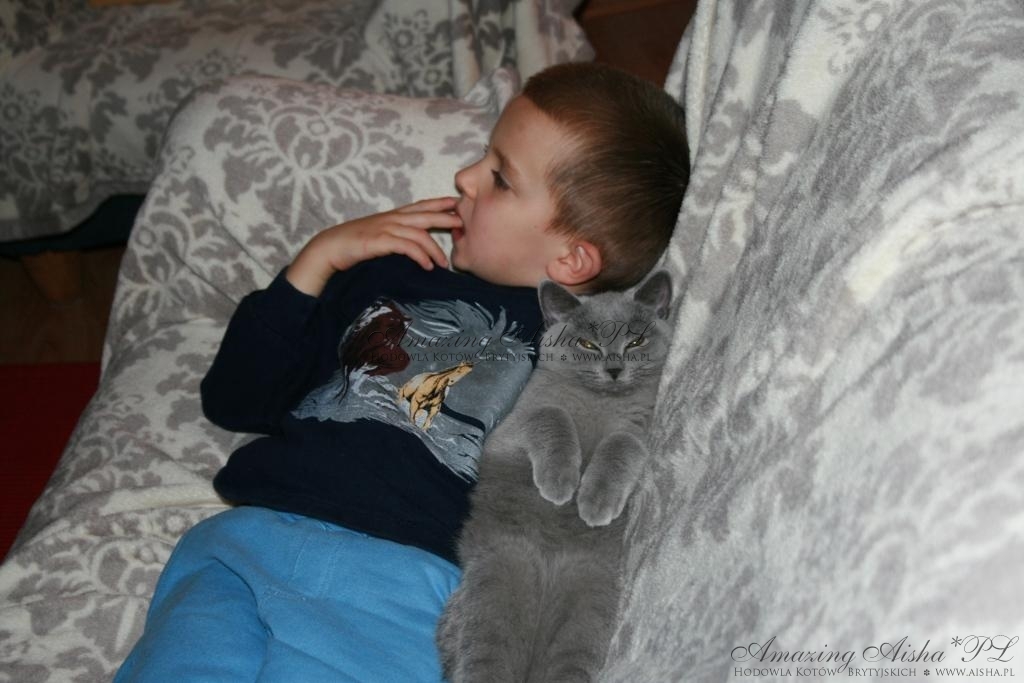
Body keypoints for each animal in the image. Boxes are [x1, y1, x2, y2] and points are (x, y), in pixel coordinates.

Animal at [437, 270, 673, 683]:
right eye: (587, 344)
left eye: (637, 340)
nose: (614, 369)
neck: (600, 405)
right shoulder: (513, 426)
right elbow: (552, 416)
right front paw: (561, 484)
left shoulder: (640, 433)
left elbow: (622, 443)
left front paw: (594, 502)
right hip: (494, 582)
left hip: (590, 608)